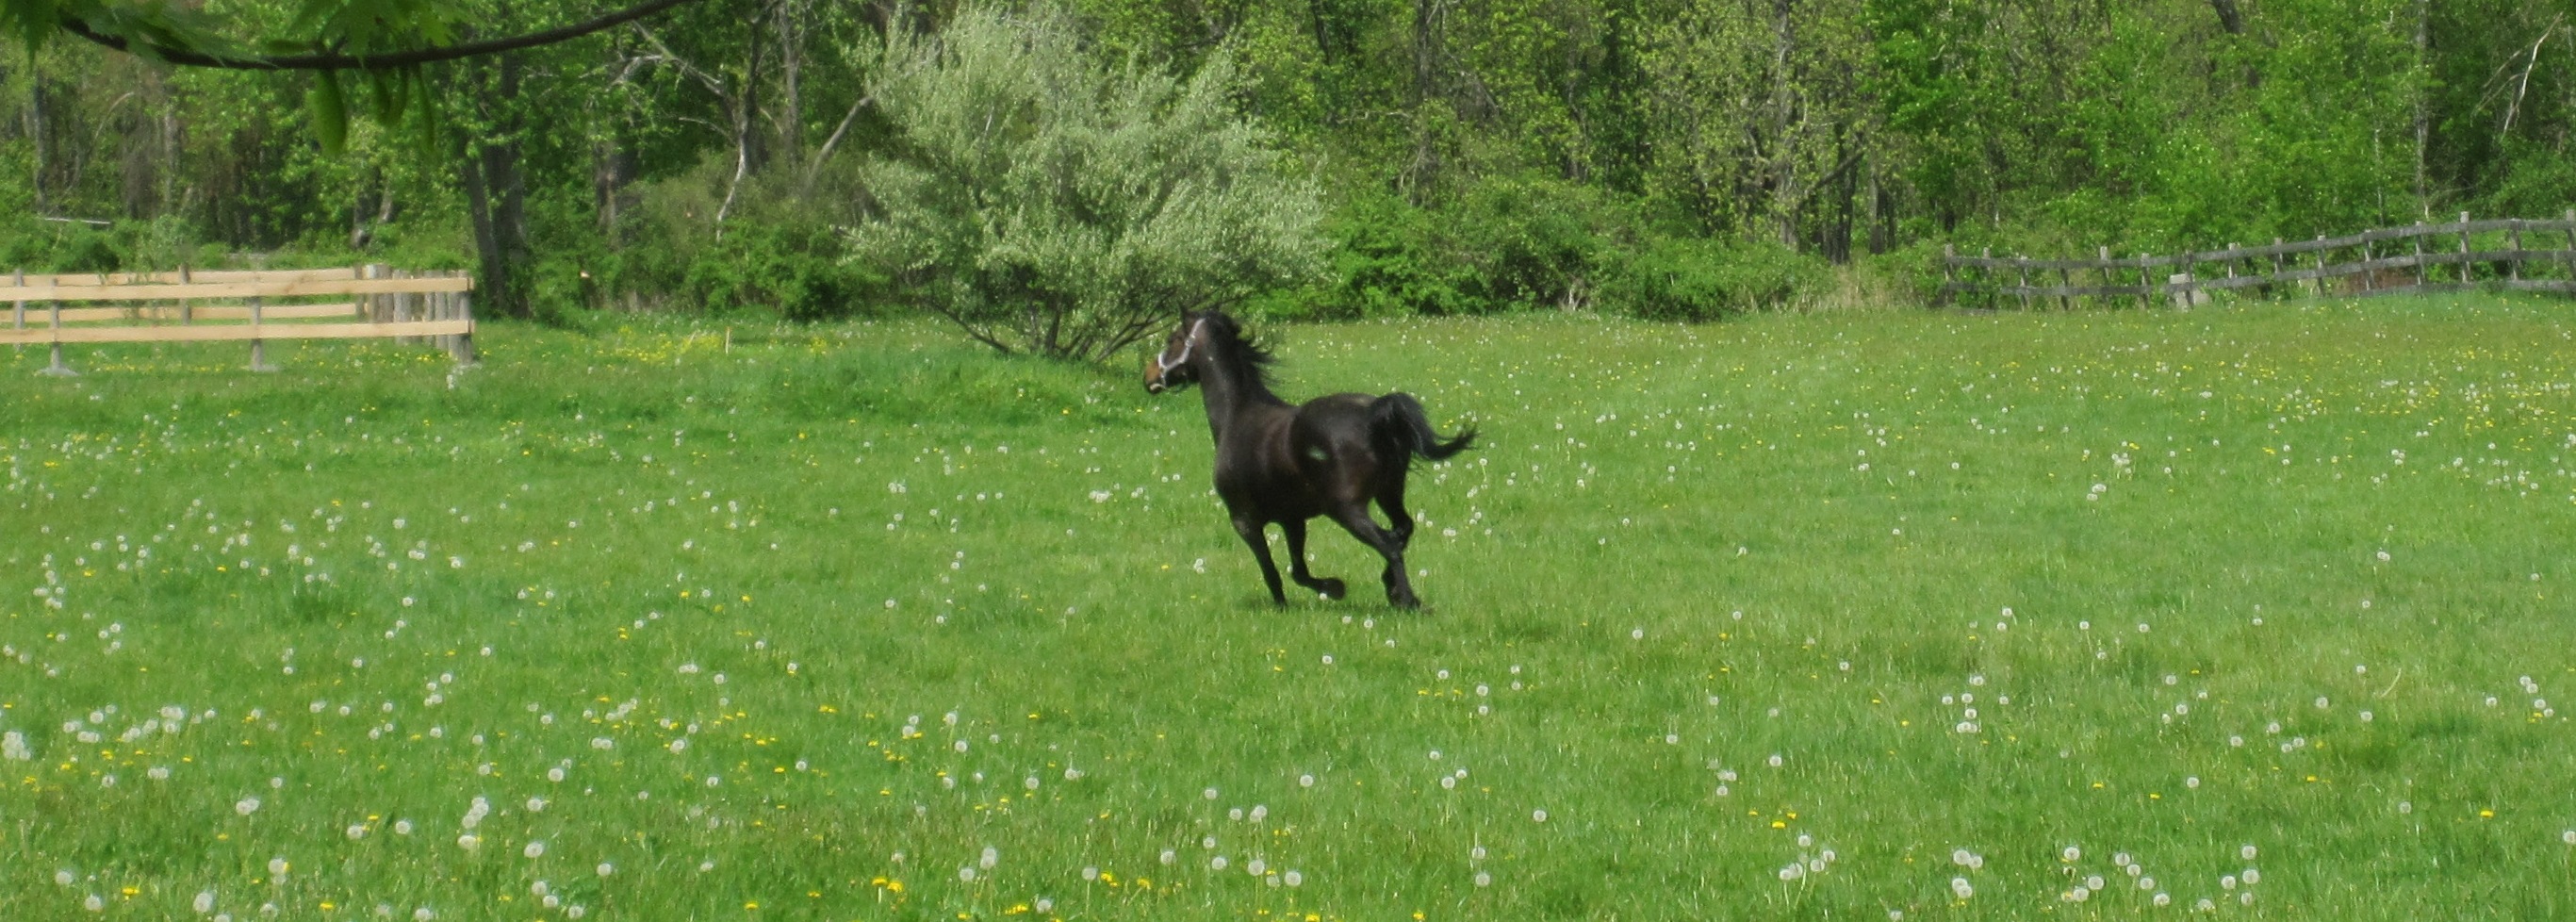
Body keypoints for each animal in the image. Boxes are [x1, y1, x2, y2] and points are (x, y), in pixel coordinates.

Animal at [1143, 311, 1476, 608]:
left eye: (1172, 339)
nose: (1148, 375)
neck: (1236, 416)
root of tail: (1375, 413)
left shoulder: (1244, 521)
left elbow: (1272, 571)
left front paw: (1290, 603)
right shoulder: (1293, 520)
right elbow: (1299, 571)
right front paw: (1334, 587)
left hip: (1347, 510)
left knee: (1389, 544)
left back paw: (1407, 599)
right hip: (1389, 493)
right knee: (1402, 529)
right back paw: (1391, 587)